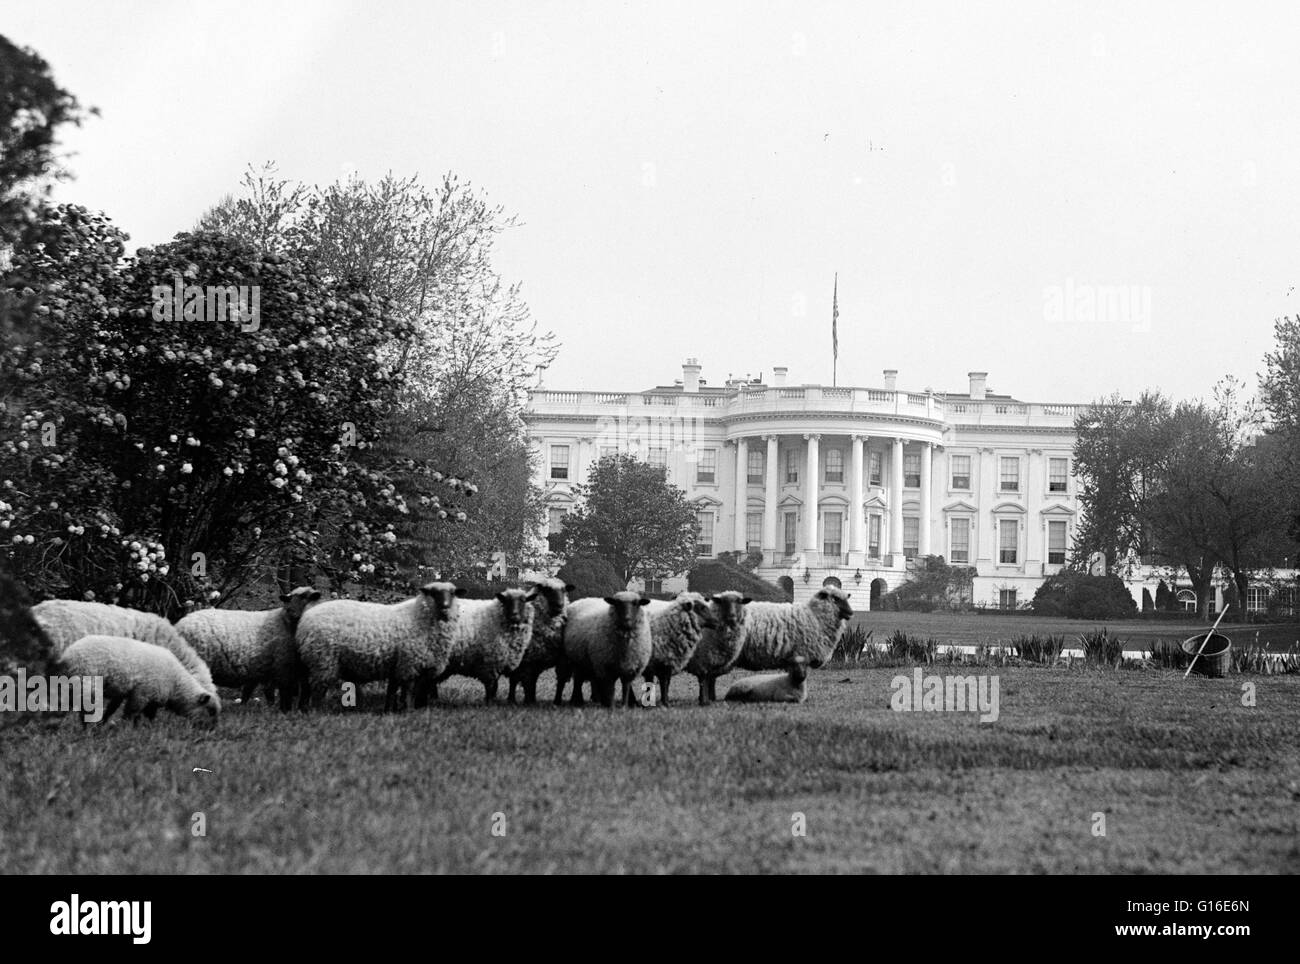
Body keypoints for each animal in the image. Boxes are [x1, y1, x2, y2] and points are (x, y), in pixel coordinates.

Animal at [56, 639, 220, 727]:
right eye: (210, 711)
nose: (211, 731)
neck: (176, 684)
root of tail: (68, 654)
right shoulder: (142, 694)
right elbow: (131, 713)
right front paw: (124, 729)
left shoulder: (151, 699)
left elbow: (143, 716)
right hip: (87, 683)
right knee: (85, 710)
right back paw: (88, 729)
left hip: (71, 685)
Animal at [174, 584, 321, 706]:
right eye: (289, 599)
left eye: (305, 597)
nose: (292, 613)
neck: (285, 622)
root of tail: (180, 624)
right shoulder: (283, 666)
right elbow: (284, 693)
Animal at [293, 582, 462, 711]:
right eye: (433, 593)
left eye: (452, 593)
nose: (445, 606)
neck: (418, 617)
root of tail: (305, 619)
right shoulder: (410, 664)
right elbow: (409, 691)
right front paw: (409, 711)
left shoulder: (398, 666)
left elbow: (393, 690)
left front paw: (389, 711)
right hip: (323, 659)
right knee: (317, 689)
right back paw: (317, 711)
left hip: (311, 662)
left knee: (306, 687)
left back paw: (304, 709)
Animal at [504, 576, 572, 706]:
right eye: (547, 590)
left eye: (564, 590)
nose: (559, 606)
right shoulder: (527, 661)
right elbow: (527, 683)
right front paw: (528, 702)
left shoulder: (553, 659)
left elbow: (550, 682)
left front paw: (552, 702)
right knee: (513, 680)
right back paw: (511, 700)